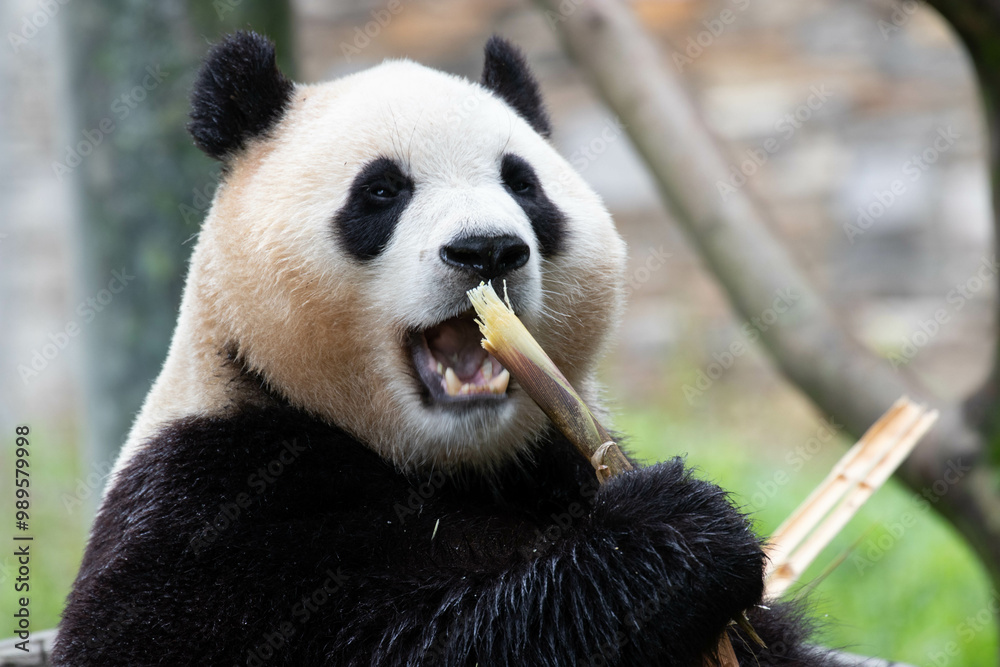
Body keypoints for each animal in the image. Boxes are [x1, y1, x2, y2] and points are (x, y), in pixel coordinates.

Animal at [54, 31, 836, 667]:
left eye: (523, 183)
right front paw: (675, 537)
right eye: (381, 190)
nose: (487, 249)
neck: (443, 463)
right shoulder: (202, 499)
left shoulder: (548, 467)